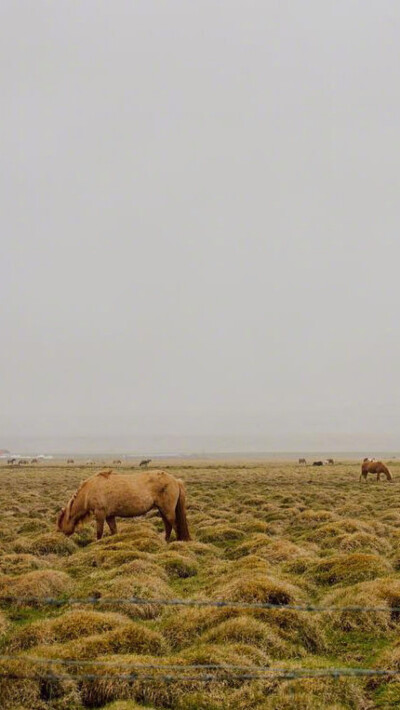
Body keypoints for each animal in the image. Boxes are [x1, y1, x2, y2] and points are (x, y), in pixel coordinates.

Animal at [56, 470, 192, 544]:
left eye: (60, 524)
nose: (61, 538)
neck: (90, 489)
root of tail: (175, 480)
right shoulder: (110, 516)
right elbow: (114, 531)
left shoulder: (100, 513)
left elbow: (99, 532)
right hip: (162, 510)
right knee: (168, 526)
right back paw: (165, 541)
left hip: (167, 511)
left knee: (175, 525)